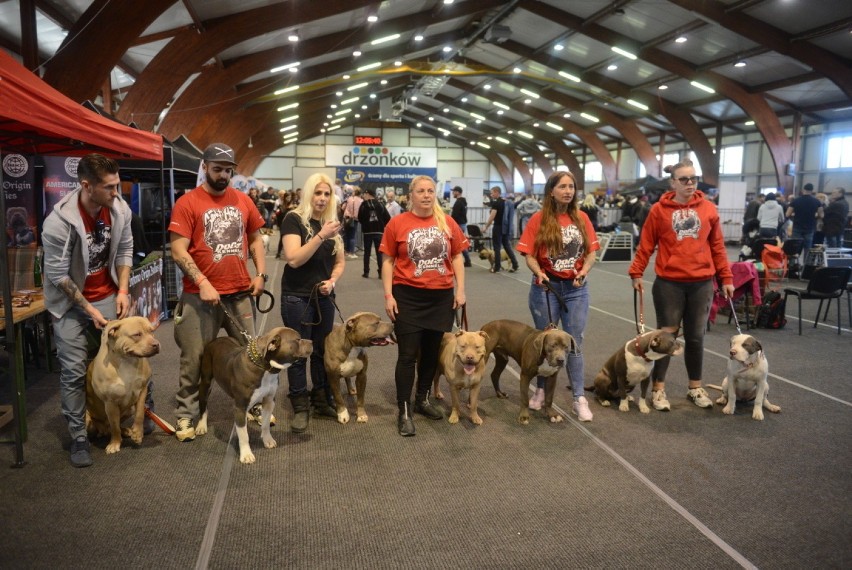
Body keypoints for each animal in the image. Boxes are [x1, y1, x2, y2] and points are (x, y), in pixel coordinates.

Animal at [85, 316, 161, 452]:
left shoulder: (142, 391)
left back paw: (125, 431)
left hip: (129, 409)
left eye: (152, 331)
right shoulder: (110, 402)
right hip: (87, 418)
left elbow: (140, 413)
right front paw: (115, 443)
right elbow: (114, 426)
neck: (127, 361)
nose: (156, 344)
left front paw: (137, 433)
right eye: (137, 334)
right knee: (106, 427)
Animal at [198, 324, 312, 462]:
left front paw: (268, 440)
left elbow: (266, 424)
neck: (264, 367)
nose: (312, 342)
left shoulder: (269, 401)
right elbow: (243, 434)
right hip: (206, 382)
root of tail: (216, 339)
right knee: (203, 404)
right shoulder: (240, 406)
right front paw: (246, 454)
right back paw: (201, 425)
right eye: (297, 340)